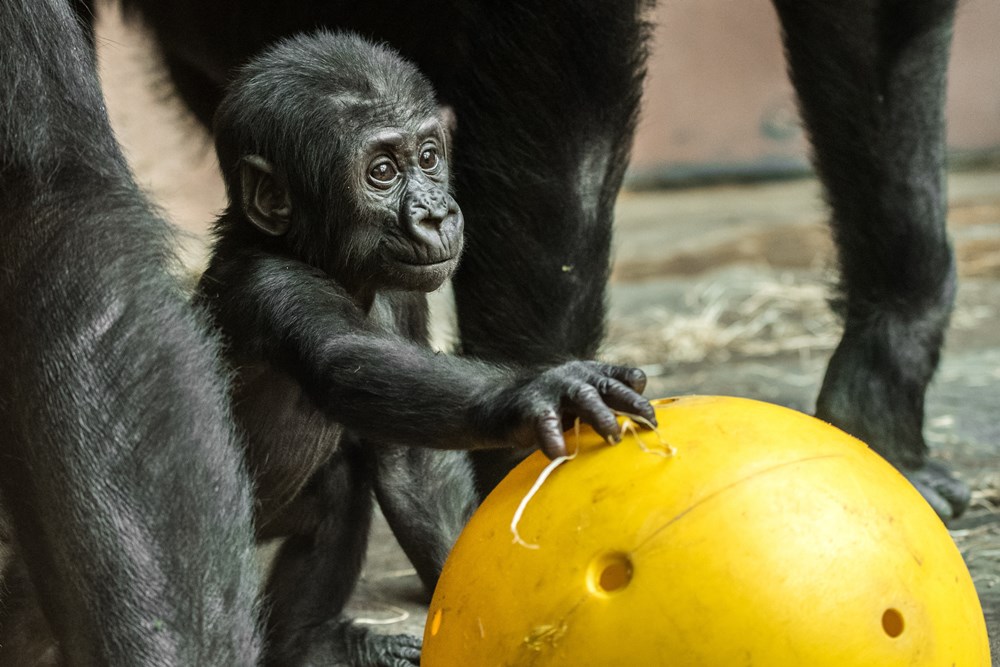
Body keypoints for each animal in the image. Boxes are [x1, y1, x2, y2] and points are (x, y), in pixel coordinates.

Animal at [197, 30, 656, 667]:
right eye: (382, 171)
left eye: (430, 157)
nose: (436, 213)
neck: (326, 263)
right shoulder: (275, 287)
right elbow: (343, 359)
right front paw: (544, 391)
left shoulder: (404, 293)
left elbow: (411, 463)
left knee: (338, 493)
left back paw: (309, 641)